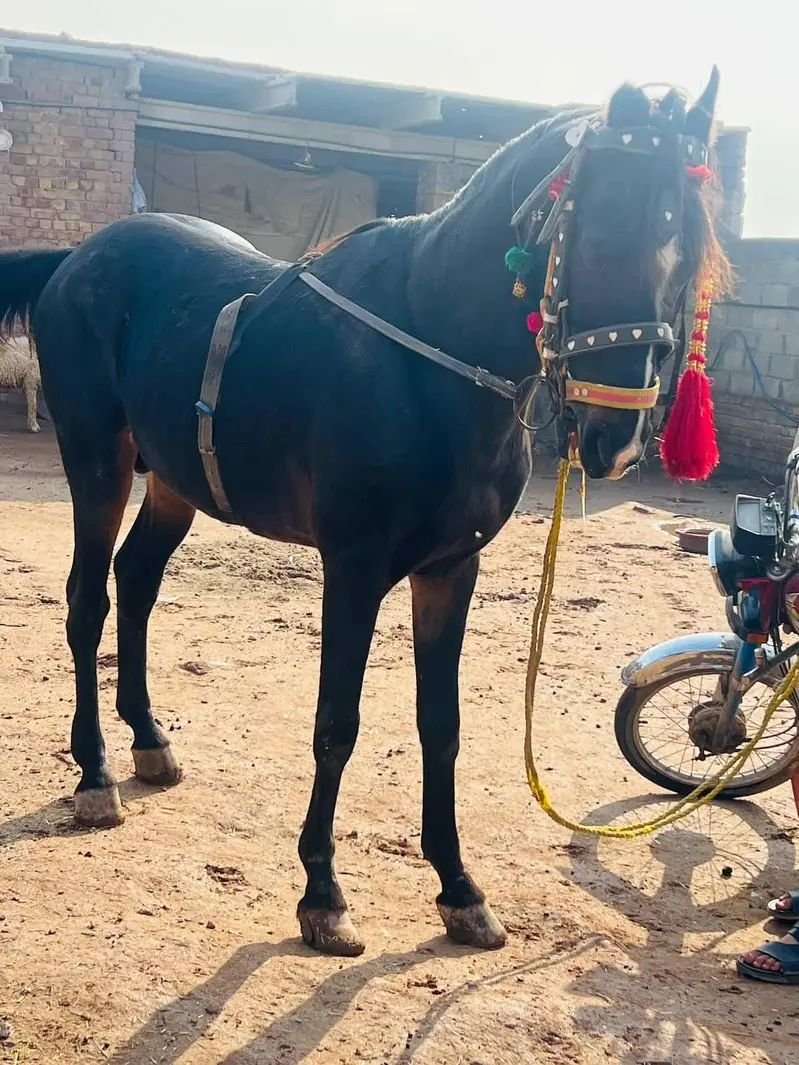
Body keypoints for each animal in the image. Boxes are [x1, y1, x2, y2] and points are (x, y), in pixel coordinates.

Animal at [0, 74, 727, 956]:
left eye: (687, 254)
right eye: (598, 239)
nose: (616, 439)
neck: (426, 356)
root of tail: (75, 259)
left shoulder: (450, 570)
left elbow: (440, 724)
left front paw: (459, 889)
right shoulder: (352, 567)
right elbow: (335, 723)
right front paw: (322, 894)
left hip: (173, 482)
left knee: (136, 582)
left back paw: (148, 741)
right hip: (98, 459)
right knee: (88, 601)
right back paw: (96, 772)